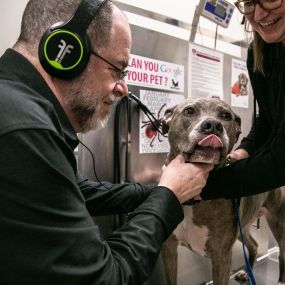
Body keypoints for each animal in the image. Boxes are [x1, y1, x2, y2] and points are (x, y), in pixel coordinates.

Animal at [160, 97, 284, 284]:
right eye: (189, 111)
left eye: (226, 115)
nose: (212, 125)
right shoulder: (169, 248)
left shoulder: (221, 256)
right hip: (243, 226)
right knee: (254, 245)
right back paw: (246, 272)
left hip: (279, 224)